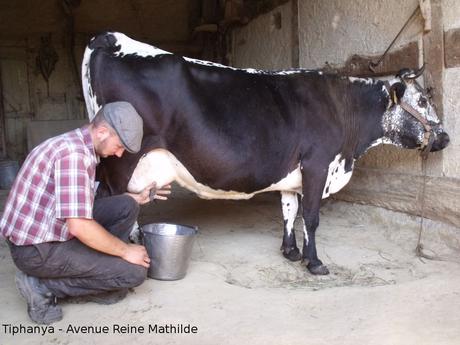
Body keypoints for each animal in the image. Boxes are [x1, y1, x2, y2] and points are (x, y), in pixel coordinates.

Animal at [82, 32, 450, 274]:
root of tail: (111, 38)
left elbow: (289, 210)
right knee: (112, 203)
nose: (445, 137)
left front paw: (290, 252)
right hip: (121, 160)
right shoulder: (318, 163)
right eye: (421, 100)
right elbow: (311, 216)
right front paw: (315, 262)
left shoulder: (294, 171)